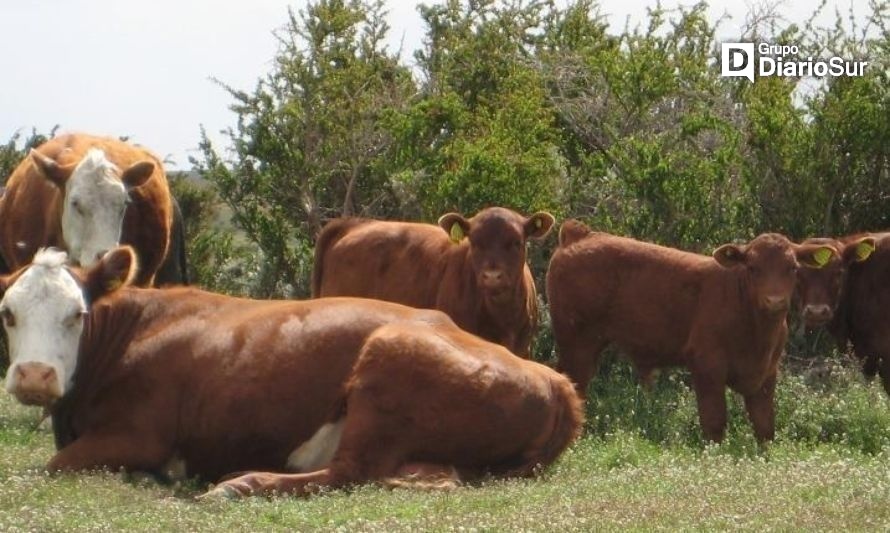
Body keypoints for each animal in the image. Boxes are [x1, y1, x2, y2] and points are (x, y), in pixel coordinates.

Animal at [0, 247, 584, 496]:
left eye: (76, 314)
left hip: (387, 364)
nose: (34, 376)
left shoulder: (137, 434)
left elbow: (46, 467)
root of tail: (553, 379)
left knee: (346, 473)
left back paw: (238, 485)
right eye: (8, 312)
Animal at [308, 209, 552, 358]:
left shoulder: (523, 348)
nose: (492, 276)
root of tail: (353, 225)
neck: (501, 317)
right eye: (475, 242)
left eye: (516, 242)